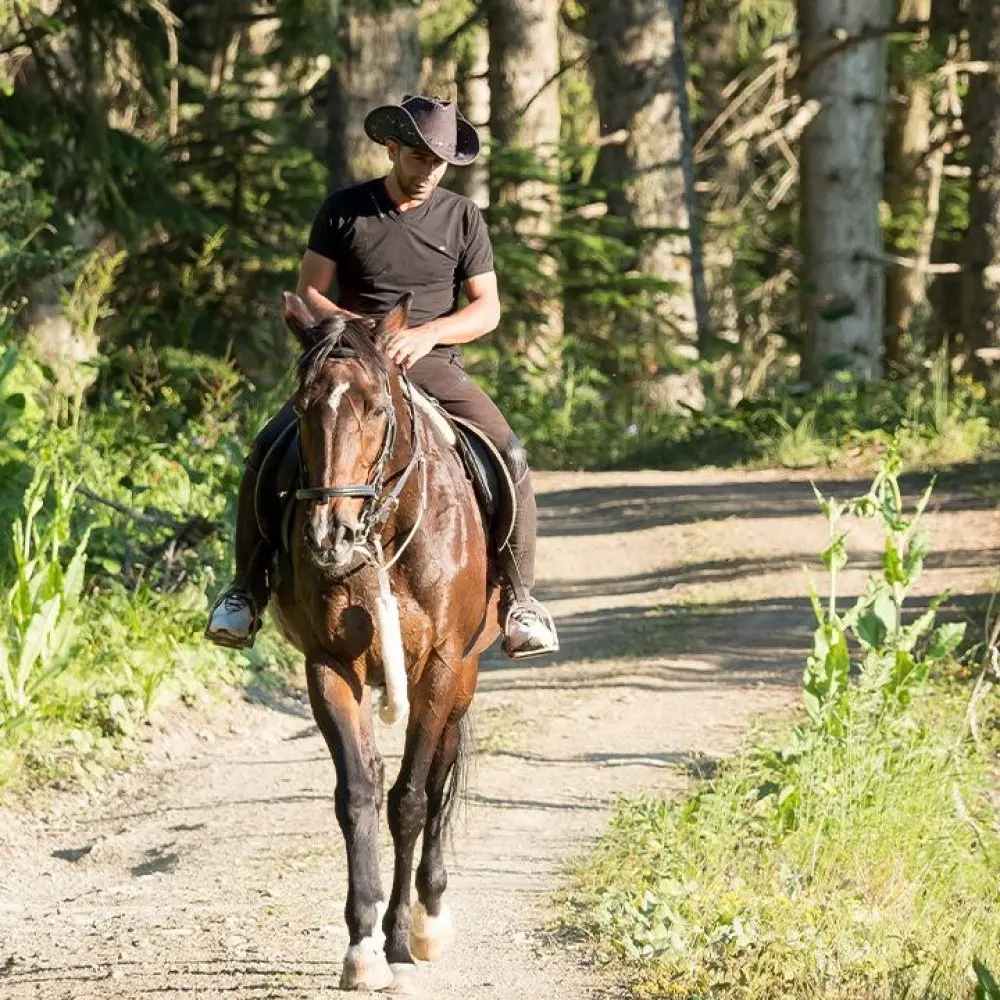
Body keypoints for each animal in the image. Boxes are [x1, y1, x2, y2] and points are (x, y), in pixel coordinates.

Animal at [268, 290, 501, 991]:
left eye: (375, 407)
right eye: (302, 408)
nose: (331, 535)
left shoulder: (440, 668)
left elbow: (411, 802)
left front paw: (398, 940)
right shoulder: (329, 666)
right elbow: (358, 796)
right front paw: (362, 945)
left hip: (464, 676)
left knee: (441, 774)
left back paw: (429, 918)